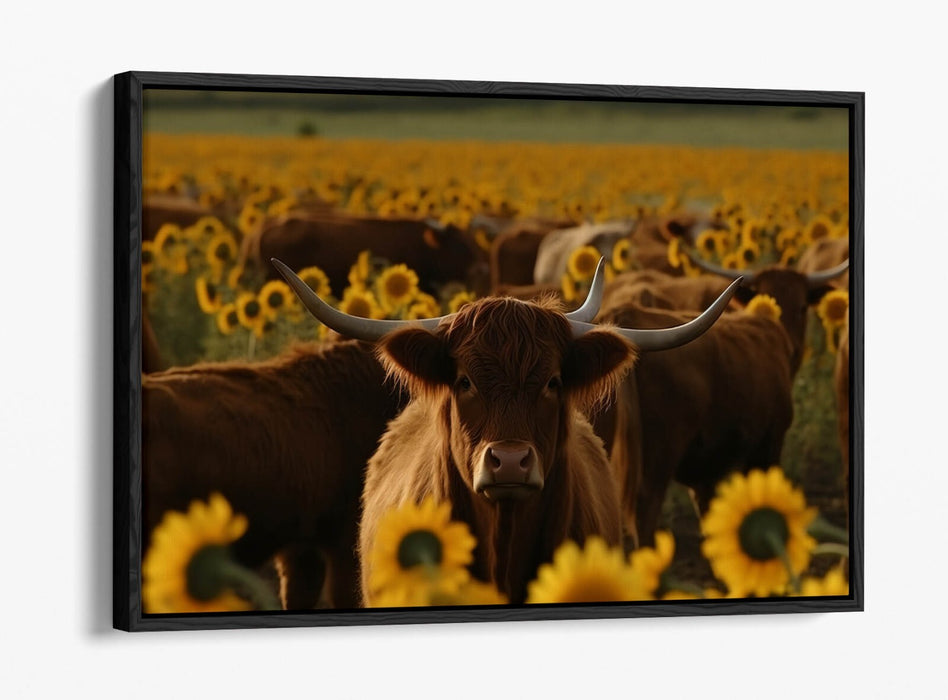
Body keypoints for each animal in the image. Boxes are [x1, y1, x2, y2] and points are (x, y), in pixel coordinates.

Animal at [597, 256, 850, 548]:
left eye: (801, 306)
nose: (795, 347)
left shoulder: (706, 474)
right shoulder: (768, 446)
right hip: (655, 463)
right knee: (644, 517)